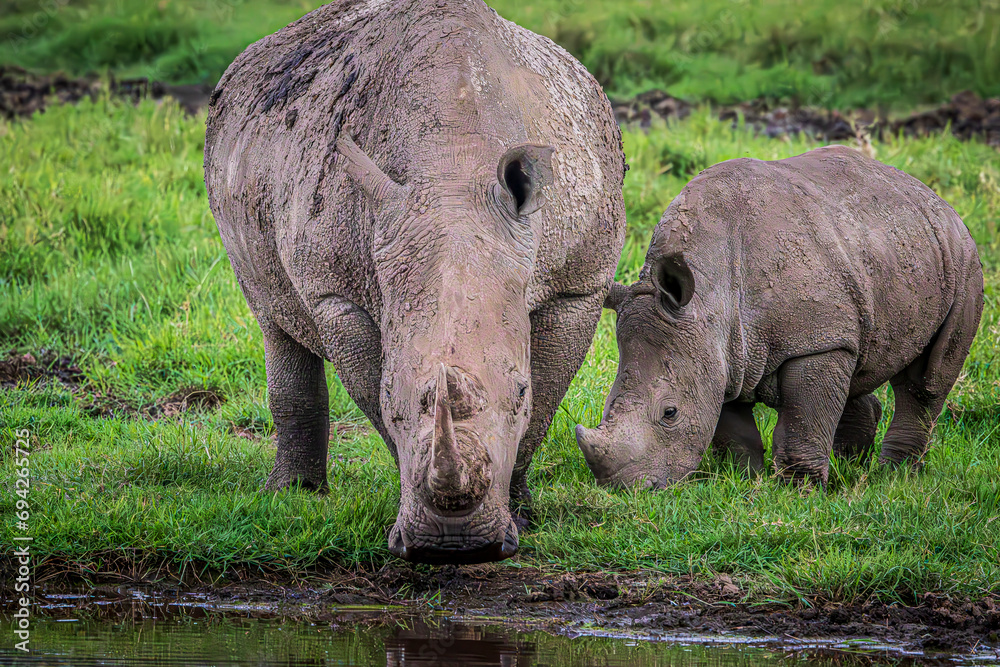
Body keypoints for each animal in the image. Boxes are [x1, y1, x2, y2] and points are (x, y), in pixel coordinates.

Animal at [204, 0, 626, 563]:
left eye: (519, 391)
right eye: (391, 395)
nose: (455, 546)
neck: (453, 177)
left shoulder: (576, 284)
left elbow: (542, 406)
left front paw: (520, 513)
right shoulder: (337, 293)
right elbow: (376, 399)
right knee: (272, 317)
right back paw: (293, 497)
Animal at [577, 145, 983, 488]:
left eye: (670, 413)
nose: (626, 488)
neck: (708, 298)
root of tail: (934, 198)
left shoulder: (814, 342)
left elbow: (804, 418)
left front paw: (799, 491)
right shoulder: (723, 352)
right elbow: (733, 427)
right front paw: (744, 479)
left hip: (962, 258)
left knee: (925, 382)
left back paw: (894, 475)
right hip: (880, 253)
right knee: (858, 358)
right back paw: (850, 464)